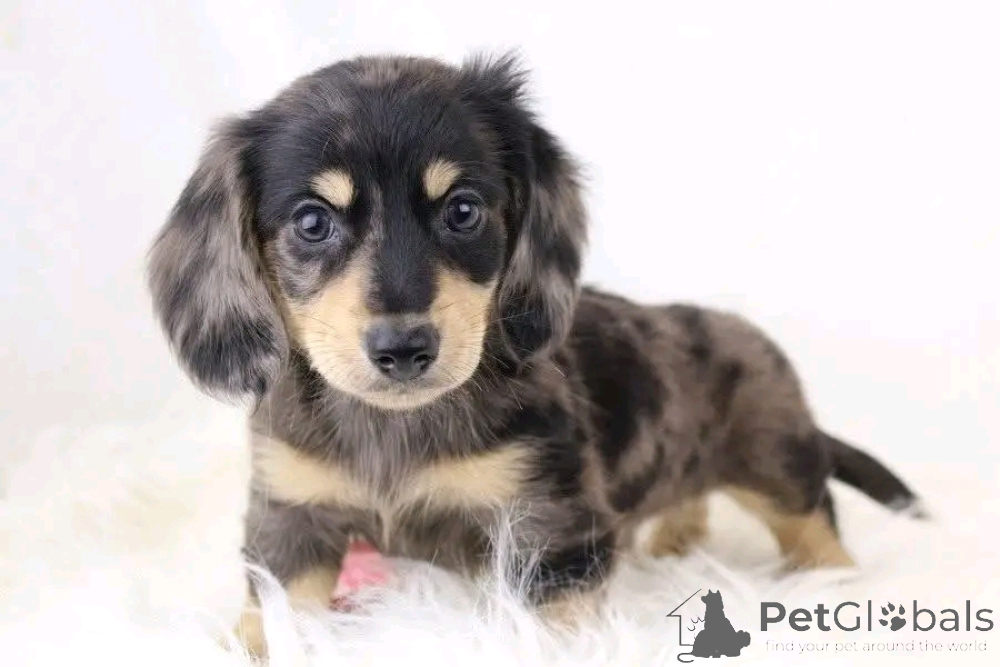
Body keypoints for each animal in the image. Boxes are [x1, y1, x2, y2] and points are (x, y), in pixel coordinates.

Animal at [147, 53, 926, 656]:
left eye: (463, 210)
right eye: (313, 222)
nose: (404, 348)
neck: (394, 428)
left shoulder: (548, 528)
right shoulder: (292, 520)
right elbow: (275, 614)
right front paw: (242, 645)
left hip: (777, 458)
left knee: (814, 512)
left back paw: (834, 580)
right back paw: (674, 542)